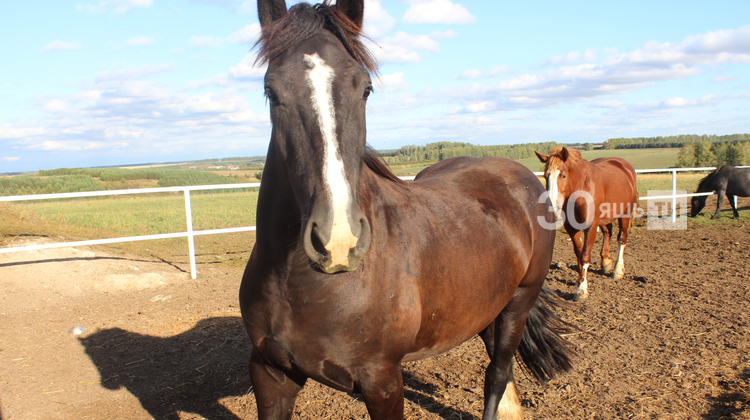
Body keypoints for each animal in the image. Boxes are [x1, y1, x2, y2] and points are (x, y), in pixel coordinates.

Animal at [241, 0, 576, 420]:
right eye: (271, 91)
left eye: (365, 89)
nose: (338, 241)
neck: (297, 284)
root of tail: (521, 175)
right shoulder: (270, 375)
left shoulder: (382, 381)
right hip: (488, 305)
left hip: (518, 303)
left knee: (497, 374)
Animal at [536, 146, 636, 300]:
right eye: (546, 176)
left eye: (563, 175)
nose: (552, 208)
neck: (582, 188)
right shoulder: (571, 227)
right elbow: (578, 251)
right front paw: (579, 281)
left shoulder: (591, 226)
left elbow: (585, 254)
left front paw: (582, 289)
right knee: (608, 231)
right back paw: (606, 262)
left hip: (625, 213)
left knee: (622, 238)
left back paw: (618, 270)